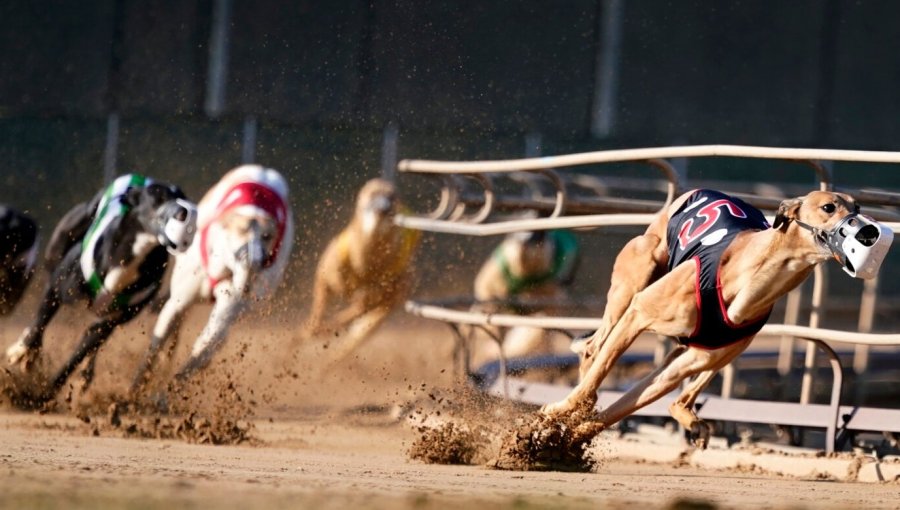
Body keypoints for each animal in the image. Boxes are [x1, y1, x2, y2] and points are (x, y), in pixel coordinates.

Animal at [298, 177, 418, 360]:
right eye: (372, 194)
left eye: (392, 197)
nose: (383, 209)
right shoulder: (325, 275)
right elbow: (319, 307)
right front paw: (312, 328)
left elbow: (354, 310)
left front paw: (321, 329)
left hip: (381, 310)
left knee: (350, 338)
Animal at [540, 189, 892, 448]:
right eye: (829, 207)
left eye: (858, 206)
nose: (869, 231)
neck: (753, 280)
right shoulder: (639, 312)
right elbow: (595, 382)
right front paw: (560, 414)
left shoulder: (688, 363)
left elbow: (621, 407)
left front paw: (564, 442)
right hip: (633, 280)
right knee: (595, 349)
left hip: (710, 354)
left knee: (680, 392)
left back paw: (689, 419)